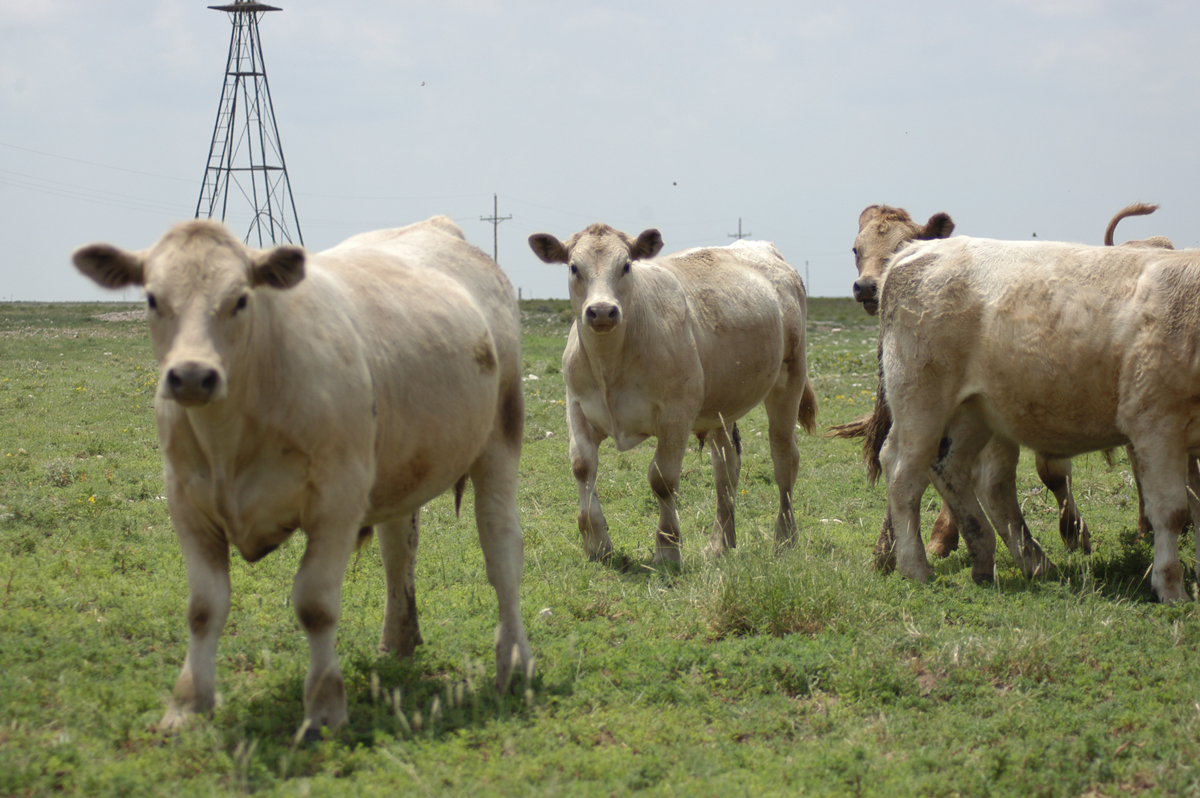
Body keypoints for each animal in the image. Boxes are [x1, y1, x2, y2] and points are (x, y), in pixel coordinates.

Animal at [70, 213, 530, 734]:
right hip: (402, 466)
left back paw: (514, 661)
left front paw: (325, 707)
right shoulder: (187, 503)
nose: (191, 375)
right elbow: (203, 608)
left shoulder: (337, 501)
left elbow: (315, 605)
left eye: (240, 299)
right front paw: (187, 705)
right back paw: (398, 641)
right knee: (399, 551)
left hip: (499, 438)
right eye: (151, 298)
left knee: (502, 550)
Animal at [525, 222, 816, 559]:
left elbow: (662, 478)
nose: (602, 311)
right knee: (726, 468)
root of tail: (765, 249)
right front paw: (597, 543)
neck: (610, 364)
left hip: (789, 378)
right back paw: (720, 543)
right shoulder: (577, 405)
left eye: (626, 266)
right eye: (574, 267)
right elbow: (582, 467)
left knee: (784, 458)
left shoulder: (677, 413)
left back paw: (785, 538)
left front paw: (667, 548)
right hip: (722, 404)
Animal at [873, 234, 1200, 600]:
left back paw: (1013, 560)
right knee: (903, 473)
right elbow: (1173, 511)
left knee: (959, 472)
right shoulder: (1156, 425)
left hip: (973, 412)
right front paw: (1172, 588)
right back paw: (916, 567)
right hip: (920, 402)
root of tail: (921, 247)